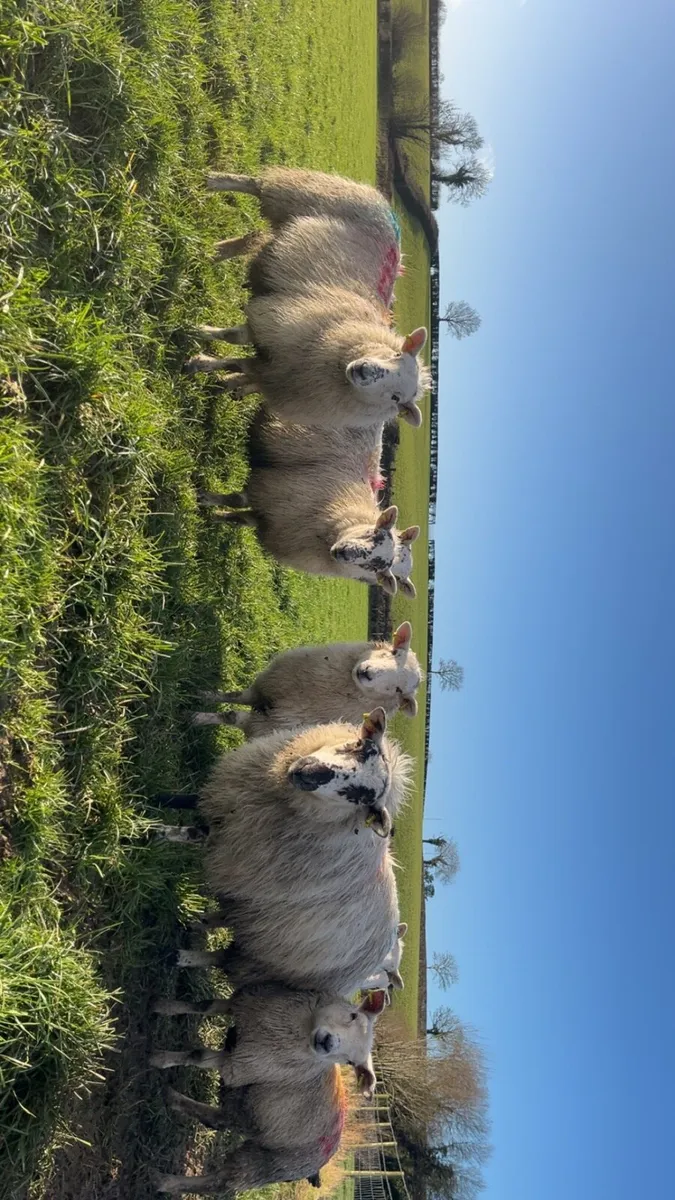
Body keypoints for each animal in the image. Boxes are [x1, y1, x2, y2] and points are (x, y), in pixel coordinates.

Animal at [151, 985, 387, 1196]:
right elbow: (203, 1005)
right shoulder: (243, 1004)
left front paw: (159, 1058)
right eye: (353, 1015)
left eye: (350, 1062)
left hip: (272, 1162)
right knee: (223, 1119)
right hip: (254, 1110)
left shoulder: (241, 1064)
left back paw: (164, 1180)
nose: (327, 1043)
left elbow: (197, 1056)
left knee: (223, 1182)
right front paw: (164, 1006)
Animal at [155, 709, 412, 994]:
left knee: (222, 958)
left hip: (265, 960)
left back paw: (176, 955)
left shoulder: (232, 843)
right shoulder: (228, 800)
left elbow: (188, 834)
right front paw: (152, 799)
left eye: (361, 795)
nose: (311, 772)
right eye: (360, 746)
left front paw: (146, 832)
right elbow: (184, 802)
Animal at [186, 286, 429, 430]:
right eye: (396, 354)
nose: (365, 370)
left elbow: (238, 364)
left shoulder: (275, 374)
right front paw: (198, 331)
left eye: (396, 398)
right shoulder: (270, 338)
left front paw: (198, 363)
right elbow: (232, 336)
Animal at [191, 622, 422, 735]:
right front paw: (204, 695)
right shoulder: (263, 687)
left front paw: (195, 718)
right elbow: (235, 695)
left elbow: (230, 716)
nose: (367, 672)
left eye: (399, 690)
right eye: (394, 652)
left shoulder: (265, 723)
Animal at [198, 411, 420, 595]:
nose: (344, 552)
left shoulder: (273, 517)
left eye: (378, 569)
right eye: (374, 533)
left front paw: (213, 517)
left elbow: (240, 519)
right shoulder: (268, 488)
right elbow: (237, 499)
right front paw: (203, 497)